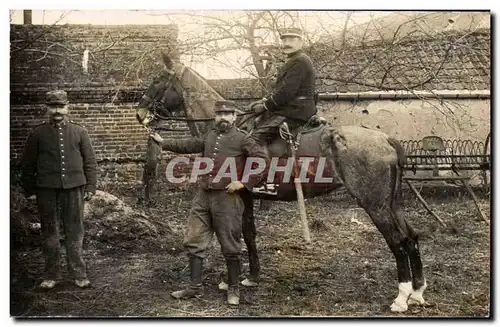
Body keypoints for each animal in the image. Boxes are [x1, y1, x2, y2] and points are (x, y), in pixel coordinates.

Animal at [135, 53, 428, 312]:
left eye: (158, 79)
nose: (140, 113)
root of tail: (385, 139)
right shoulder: (247, 197)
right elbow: (250, 235)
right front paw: (251, 276)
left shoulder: (239, 196)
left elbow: (243, 235)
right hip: (392, 204)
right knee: (412, 236)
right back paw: (417, 291)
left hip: (375, 205)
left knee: (398, 241)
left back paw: (401, 297)